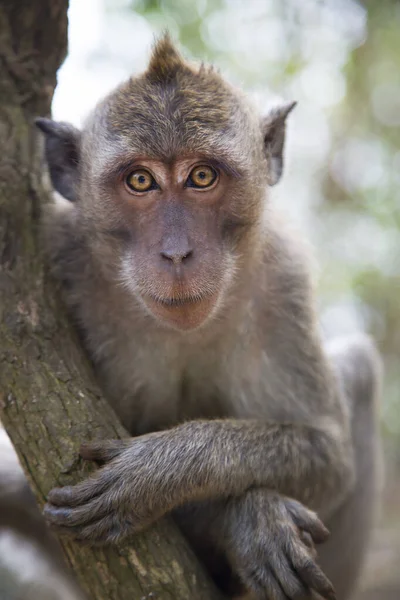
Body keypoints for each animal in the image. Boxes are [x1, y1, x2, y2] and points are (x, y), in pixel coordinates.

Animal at [34, 34, 382, 600]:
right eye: (140, 180)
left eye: (201, 176)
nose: (177, 253)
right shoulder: (60, 257)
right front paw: (240, 520)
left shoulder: (282, 279)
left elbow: (329, 454)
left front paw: (160, 477)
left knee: (360, 366)